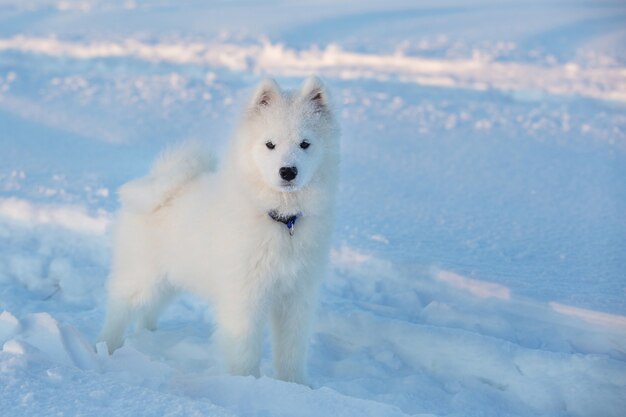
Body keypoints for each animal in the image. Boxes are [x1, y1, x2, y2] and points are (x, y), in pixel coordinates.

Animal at [97, 75, 338, 384]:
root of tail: (160, 181)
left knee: (148, 311)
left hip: (169, 279)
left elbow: (291, 351)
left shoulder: (297, 296)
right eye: (270, 144)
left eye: (305, 144)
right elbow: (244, 349)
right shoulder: (245, 295)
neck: (279, 217)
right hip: (141, 275)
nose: (288, 171)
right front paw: (248, 383)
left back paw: (149, 337)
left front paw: (295, 387)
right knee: (118, 311)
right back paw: (103, 350)